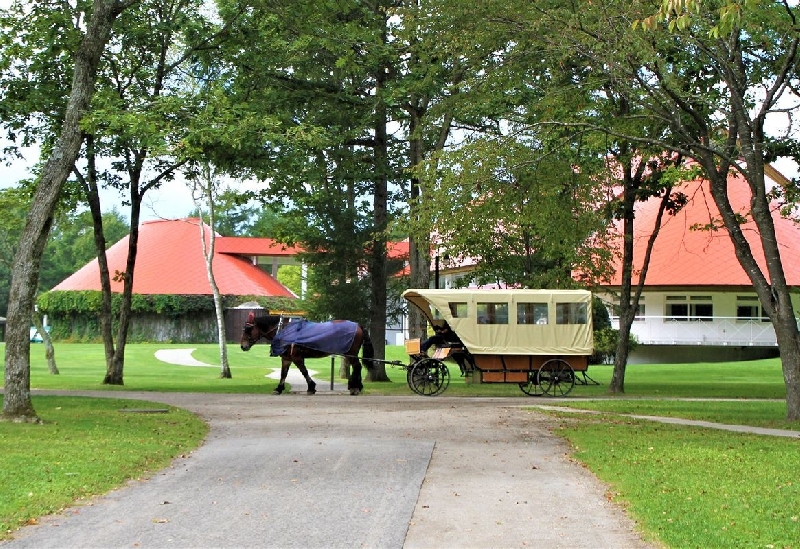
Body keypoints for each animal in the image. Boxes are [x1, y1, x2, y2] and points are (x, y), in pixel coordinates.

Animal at [241, 312, 376, 394]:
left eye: (248, 329)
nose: (243, 346)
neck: (284, 330)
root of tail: (358, 325)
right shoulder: (286, 358)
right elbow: (283, 374)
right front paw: (279, 388)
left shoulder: (296, 357)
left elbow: (304, 371)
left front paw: (311, 387)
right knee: (356, 367)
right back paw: (357, 386)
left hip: (351, 353)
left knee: (357, 367)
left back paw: (355, 388)